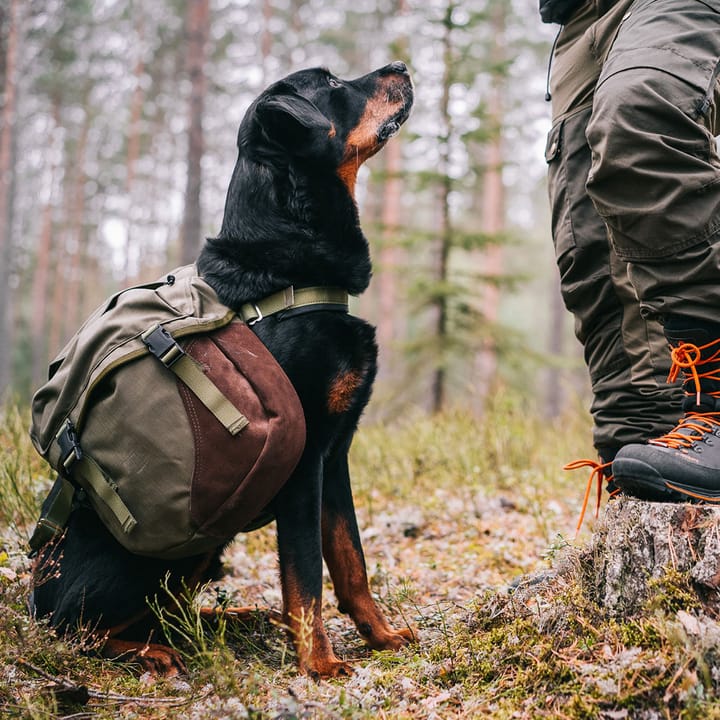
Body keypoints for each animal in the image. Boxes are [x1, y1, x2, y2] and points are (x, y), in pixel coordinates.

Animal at [31, 60, 416, 676]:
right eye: (333, 83)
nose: (401, 65)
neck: (290, 270)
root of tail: (32, 600)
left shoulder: (336, 455)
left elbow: (350, 560)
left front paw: (380, 636)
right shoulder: (305, 462)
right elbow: (306, 574)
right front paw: (319, 663)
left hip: (204, 549)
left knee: (169, 610)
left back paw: (230, 619)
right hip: (150, 559)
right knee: (80, 627)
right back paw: (153, 651)